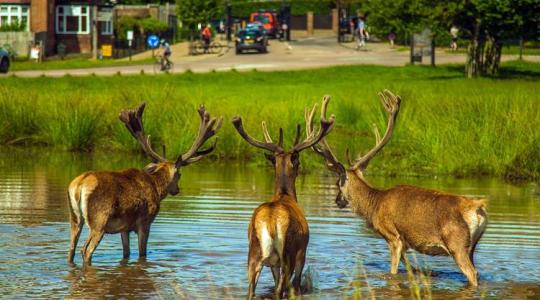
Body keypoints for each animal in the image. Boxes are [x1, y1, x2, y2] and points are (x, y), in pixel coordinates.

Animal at [67, 103, 221, 264]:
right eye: (179, 174)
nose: (177, 190)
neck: (156, 187)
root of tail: (79, 185)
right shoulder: (145, 221)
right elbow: (142, 253)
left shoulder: (124, 227)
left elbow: (126, 253)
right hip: (99, 221)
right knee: (86, 250)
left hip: (74, 218)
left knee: (71, 249)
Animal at [231, 106, 334, 298]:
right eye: (299, 163)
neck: (285, 195)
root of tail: (271, 222)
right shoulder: (302, 252)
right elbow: (296, 284)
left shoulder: (273, 265)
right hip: (288, 254)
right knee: (281, 290)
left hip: (253, 256)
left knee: (250, 290)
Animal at [308, 91, 490, 286]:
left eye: (337, 183)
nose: (337, 201)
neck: (374, 206)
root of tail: (478, 207)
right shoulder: (405, 243)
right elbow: (410, 268)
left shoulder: (392, 236)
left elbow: (393, 271)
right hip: (472, 246)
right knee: (477, 271)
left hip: (457, 243)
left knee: (472, 273)